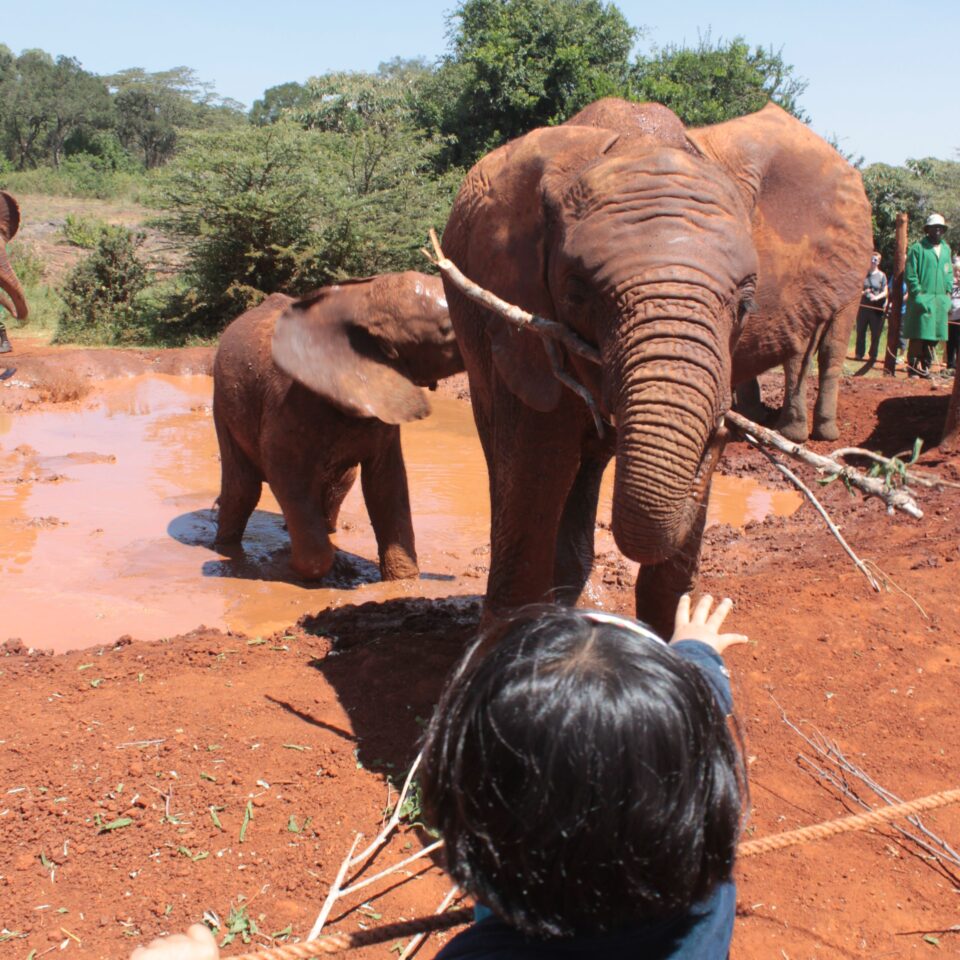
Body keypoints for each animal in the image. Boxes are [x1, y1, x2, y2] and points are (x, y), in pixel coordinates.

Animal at [212, 271, 462, 582]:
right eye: (447, 328)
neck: (359, 301)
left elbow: (386, 483)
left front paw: (403, 580)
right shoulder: (288, 401)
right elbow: (286, 475)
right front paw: (288, 566)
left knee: (340, 483)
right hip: (222, 404)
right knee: (243, 487)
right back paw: (226, 548)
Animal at [441, 98, 871, 635]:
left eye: (746, 303)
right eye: (577, 293)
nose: (724, 430)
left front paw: (673, 640)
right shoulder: (521, 320)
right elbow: (538, 458)